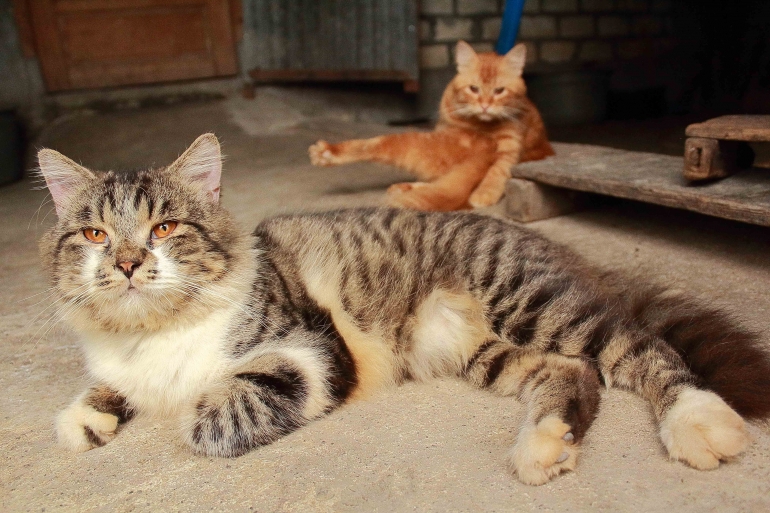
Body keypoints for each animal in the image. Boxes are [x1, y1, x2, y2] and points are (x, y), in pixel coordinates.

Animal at [39, 134, 770, 486]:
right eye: (96, 234)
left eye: (164, 228)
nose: (128, 264)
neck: (153, 332)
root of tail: (546, 242)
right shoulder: (122, 360)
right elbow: (104, 388)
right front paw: (86, 417)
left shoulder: (310, 350)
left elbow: (212, 411)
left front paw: (191, 404)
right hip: (490, 350)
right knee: (576, 375)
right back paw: (543, 447)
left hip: (531, 302)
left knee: (643, 348)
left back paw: (698, 422)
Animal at [308, 41, 554, 211]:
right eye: (474, 89)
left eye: (499, 91)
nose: (485, 106)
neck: (479, 127)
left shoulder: (510, 147)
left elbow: (498, 171)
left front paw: (484, 194)